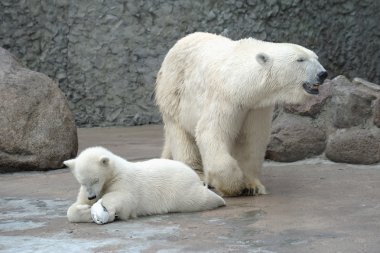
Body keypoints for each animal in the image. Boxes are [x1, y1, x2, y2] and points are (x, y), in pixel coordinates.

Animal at [154, 31, 326, 197]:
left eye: (316, 57)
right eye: (300, 59)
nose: (323, 74)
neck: (242, 83)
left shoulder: (255, 107)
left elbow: (251, 140)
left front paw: (252, 186)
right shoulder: (226, 98)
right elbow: (211, 132)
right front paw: (233, 186)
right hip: (174, 93)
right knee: (182, 136)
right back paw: (198, 176)